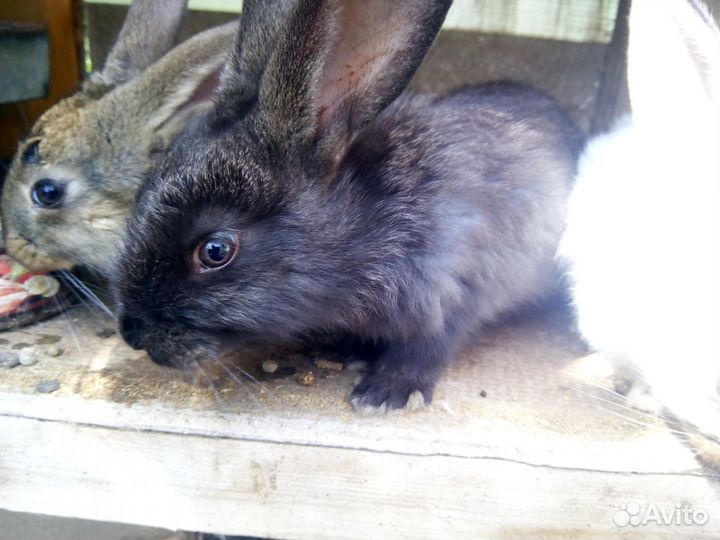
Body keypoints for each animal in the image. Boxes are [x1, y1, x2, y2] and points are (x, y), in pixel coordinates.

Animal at [114, 0, 584, 413]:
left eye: (215, 251)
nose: (132, 334)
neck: (364, 223)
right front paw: (349, 353)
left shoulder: (453, 289)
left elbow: (428, 346)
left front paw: (386, 393)